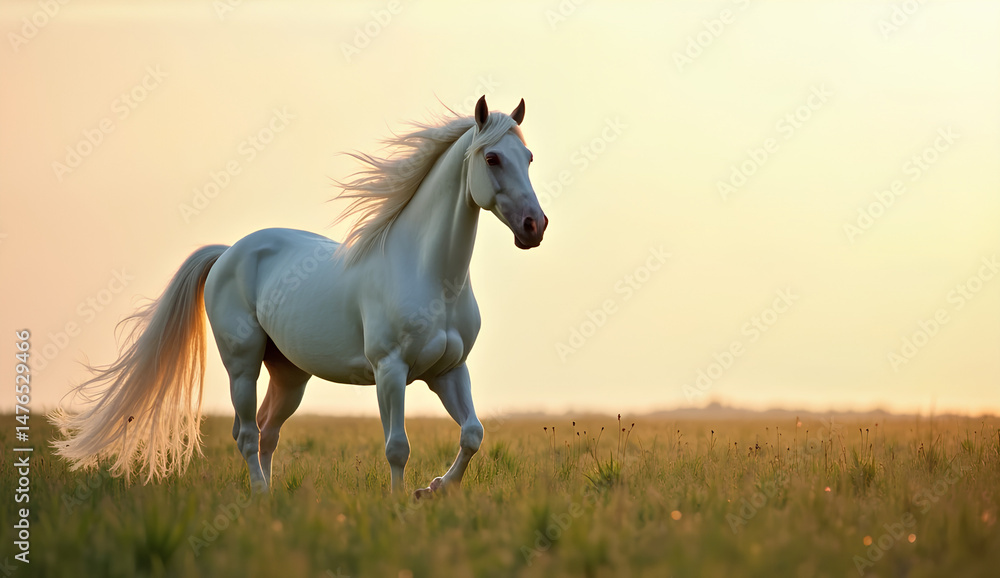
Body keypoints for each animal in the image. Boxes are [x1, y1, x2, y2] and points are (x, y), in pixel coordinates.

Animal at [51, 96, 547, 497]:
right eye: (492, 157)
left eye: (528, 156)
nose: (534, 227)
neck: (430, 277)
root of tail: (227, 252)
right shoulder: (390, 370)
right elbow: (397, 447)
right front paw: (398, 504)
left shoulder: (448, 371)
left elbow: (472, 434)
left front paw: (434, 489)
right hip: (243, 365)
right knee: (247, 433)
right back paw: (259, 496)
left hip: (290, 375)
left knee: (267, 431)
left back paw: (269, 499)